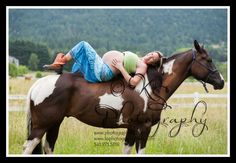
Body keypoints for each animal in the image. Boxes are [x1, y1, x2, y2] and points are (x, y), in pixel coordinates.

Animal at [22, 40, 225, 154]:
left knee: (48, 147)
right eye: (208, 60)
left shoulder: (132, 128)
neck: (151, 86)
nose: (221, 82)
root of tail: (38, 84)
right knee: (28, 148)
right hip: (41, 126)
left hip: (54, 124)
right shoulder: (143, 128)